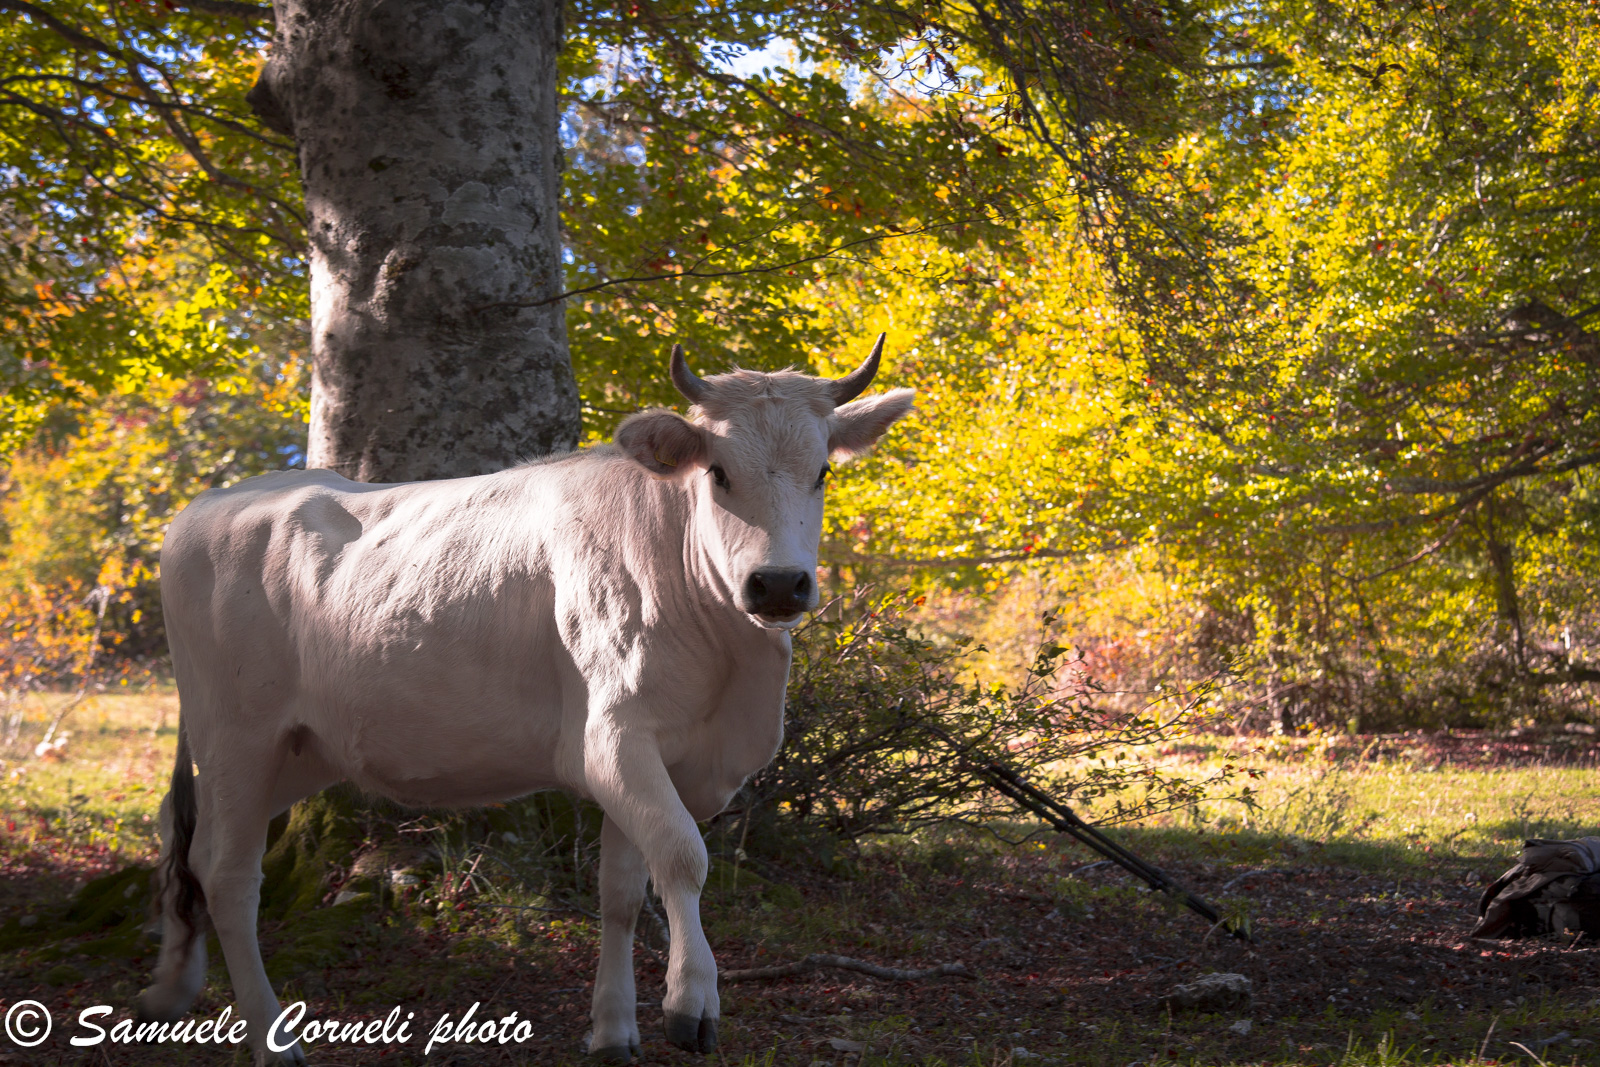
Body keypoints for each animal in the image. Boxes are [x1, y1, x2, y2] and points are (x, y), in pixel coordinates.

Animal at [136, 338, 915, 1065]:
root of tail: (211, 502)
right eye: (719, 472)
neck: (730, 673)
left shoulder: (666, 757)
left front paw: (613, 1030)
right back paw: (272, 1038)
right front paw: (691, 1001)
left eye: (823, 471)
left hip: (297, 749)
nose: (779, 584)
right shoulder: (611, 737)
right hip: (236, 735)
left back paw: (175, 982)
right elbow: (683, 856)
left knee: (191, 843)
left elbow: (621, 890)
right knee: (229, 875)